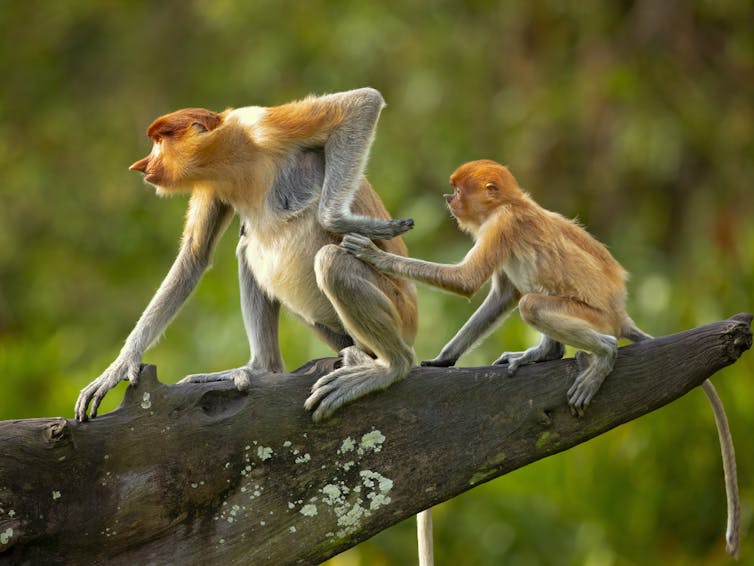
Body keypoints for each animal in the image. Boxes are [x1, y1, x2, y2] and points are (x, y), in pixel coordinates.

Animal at [74, 88, 419, 426]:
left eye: (160, 140)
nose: (142, 165)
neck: (231, 156)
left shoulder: (259, 125)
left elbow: (361, 103)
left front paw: (344, 222)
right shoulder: (211, 183)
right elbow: (194, 256)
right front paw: (119, 366)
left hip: (399, 310)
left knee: (330, 261)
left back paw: (392, 366)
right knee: (247, 250)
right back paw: (262, 368)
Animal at [341, 159, 740, 557]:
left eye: (457, 189)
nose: (448, 199)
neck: (511, 204)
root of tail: (619, 314)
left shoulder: (500, 226)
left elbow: (466, 281)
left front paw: (372, 254)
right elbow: (501, 295)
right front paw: (443, 359)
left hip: (592, 317)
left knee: (533, 304)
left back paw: (603, 354)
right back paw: (546, 353)